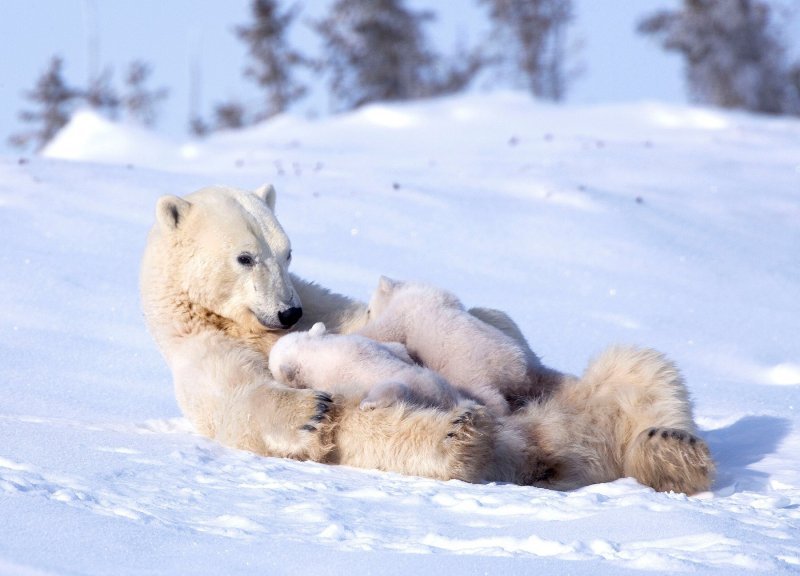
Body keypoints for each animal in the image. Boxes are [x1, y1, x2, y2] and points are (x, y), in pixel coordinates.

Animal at [141, 182, 716, 492]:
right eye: (244, 256)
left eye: (287, 253)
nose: (288, 311)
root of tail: (565, 445)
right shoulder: (200, 350)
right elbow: (238, 400)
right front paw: (310, 410)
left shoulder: (326, 304)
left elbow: (375, 315)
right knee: (400, 432)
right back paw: (462, 437)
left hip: (575, 389)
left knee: (643, 369)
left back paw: (673, 451)